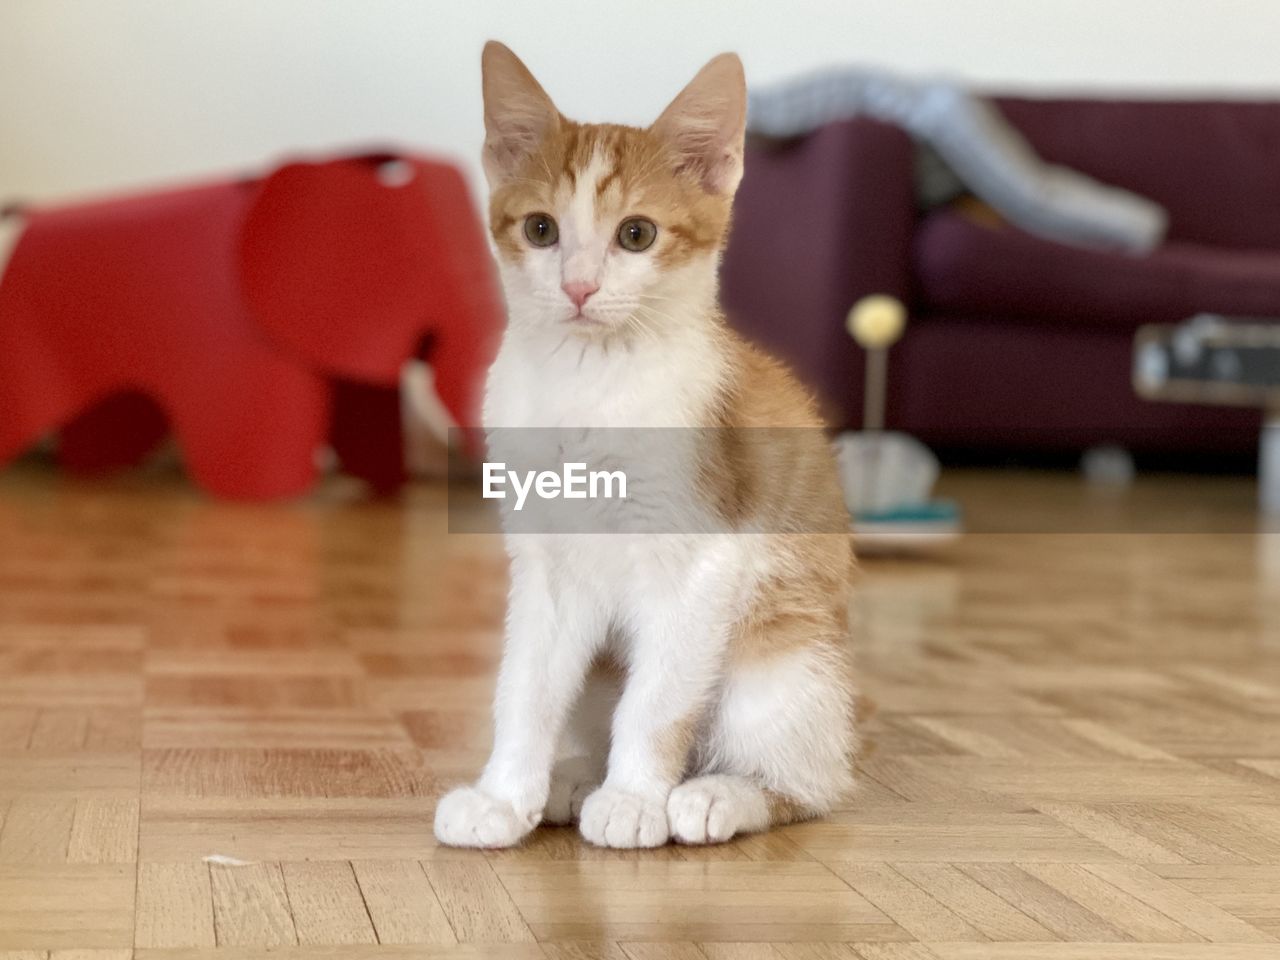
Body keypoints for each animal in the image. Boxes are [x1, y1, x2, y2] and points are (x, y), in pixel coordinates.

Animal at [432, 41, 860, 849]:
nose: (578, 287)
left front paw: (633, 798)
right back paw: (570, 779)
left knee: (813, 786)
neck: (591, 385)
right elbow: (525, 686)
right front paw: (503, 796)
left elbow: (658, 700)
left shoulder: (705, 556)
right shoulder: (544, 563)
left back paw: (719, 794)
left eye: (637, 234)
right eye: (541, 230)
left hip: (784, 658)